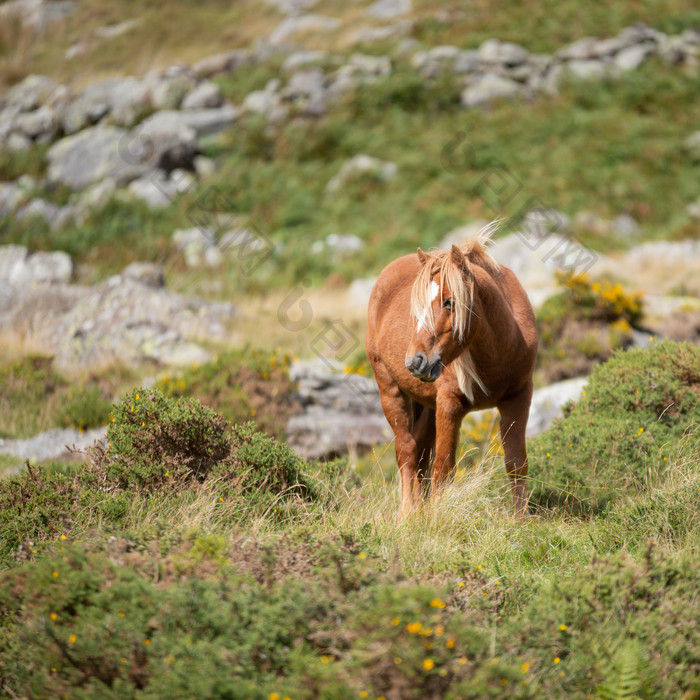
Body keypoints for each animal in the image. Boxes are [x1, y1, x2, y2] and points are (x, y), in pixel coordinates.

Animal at [364, 224, 540, 516]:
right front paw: (437, 518)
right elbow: (444, 468)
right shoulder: (449, 405)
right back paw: (408, 513)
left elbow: (516, 462)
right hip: (390, 390)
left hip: (427, 405)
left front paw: (521, 518)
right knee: (407, 452)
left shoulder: (517, 399)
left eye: (449, 302)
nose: (415, 361)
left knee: (421, 453)